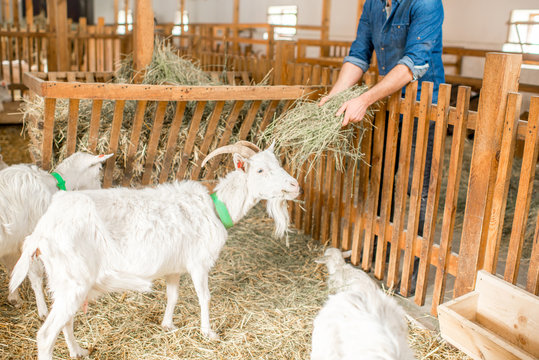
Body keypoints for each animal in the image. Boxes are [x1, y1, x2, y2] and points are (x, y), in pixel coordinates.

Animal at [0, 152, 112, 316]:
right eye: (98, 171)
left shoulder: (12, 242)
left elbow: (11, 267)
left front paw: (14, 297)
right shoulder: (31, 237)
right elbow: (35, 274)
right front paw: (43, 310)